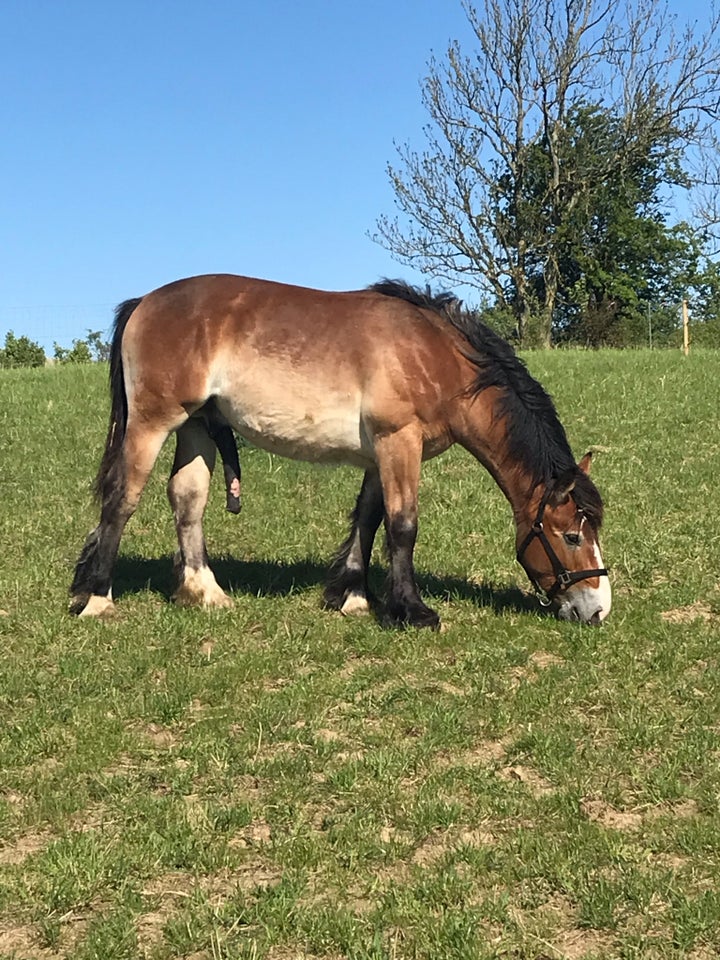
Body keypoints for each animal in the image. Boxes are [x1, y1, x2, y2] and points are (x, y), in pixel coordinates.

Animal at [69, 274, 608, 628]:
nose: (599, 607)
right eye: (571, 536)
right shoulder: (398, 442)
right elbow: (403, 525)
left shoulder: (380, 455)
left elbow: (369, 519)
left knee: (187, 499)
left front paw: (351, 595)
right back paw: (96, 598)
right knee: (122, 499)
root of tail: (145, 301)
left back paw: (205, 591)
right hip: (152, 424)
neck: (437, 357)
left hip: (198, 426)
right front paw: (411, 611)